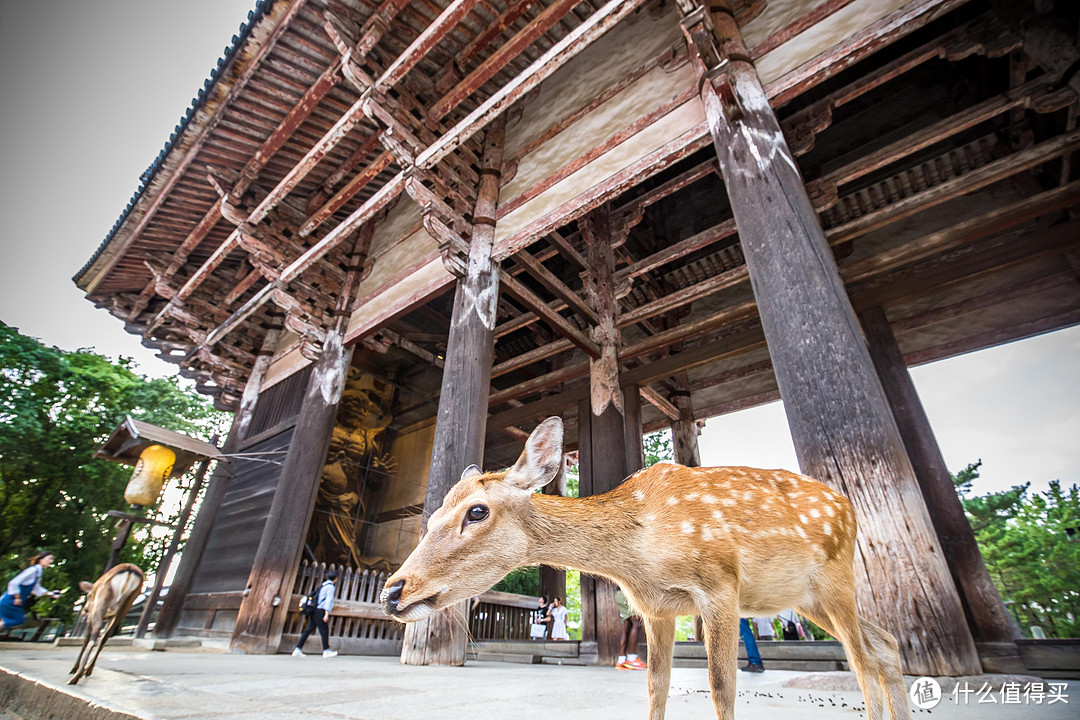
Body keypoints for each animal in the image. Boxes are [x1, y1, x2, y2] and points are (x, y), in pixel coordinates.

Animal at [384, 416, 907, 720]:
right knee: (884, 643)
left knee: (863, 660)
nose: (393, 591)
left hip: (836, 577)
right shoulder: (657, 608)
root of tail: (850, 508)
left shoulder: (720, 583)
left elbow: (722, 687)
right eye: (432, 515)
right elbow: (656, 688)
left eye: (476, 511)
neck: (636, 555)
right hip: (808, 597)